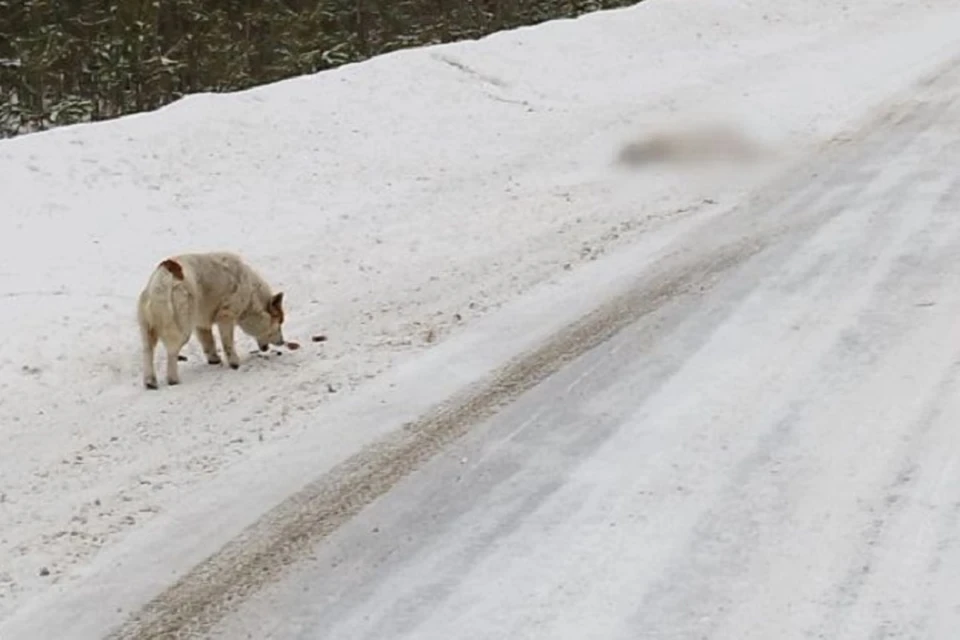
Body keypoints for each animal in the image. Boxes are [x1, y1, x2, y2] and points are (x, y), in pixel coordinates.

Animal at [137, 252, 284, 388]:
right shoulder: (226, 316)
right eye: (279, 323)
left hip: (148, 327)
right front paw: (234, 362)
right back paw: (173, 379)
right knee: (172, 352)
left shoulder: (202, 322)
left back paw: (150, 382)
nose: (283, 342)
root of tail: (165, 275)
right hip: (182, 328)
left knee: (148, 351)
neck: (252, 295)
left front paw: (214, 359)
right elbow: (228, 343)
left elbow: (208, 341)